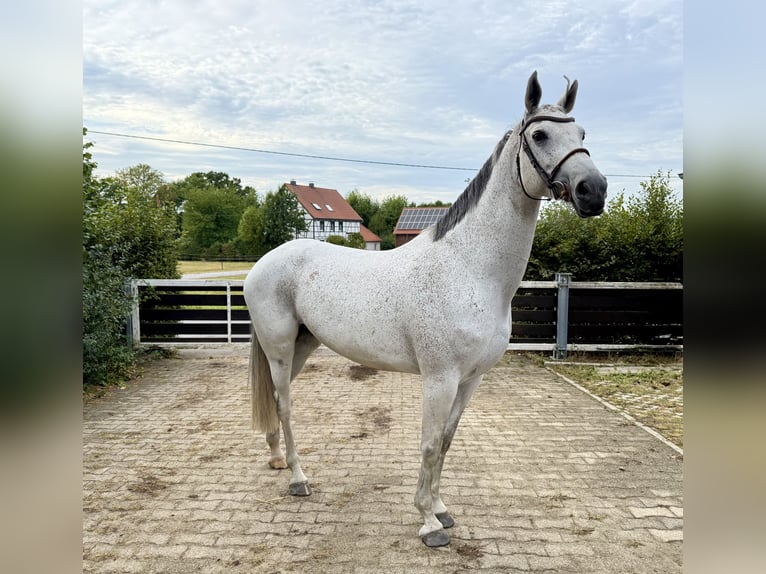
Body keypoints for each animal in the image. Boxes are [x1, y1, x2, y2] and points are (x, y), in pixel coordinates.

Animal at [243, 70, 607, 547]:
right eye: (540, 134)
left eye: (582, 134)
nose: (594, 191)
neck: (468, 267)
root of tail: (263, 263)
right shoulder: (439, 378)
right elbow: (430, 444)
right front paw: (428, 522)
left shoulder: (470, 379)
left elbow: (447, 441)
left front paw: (440, 508)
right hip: (281, 348)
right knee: (285, 406)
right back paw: (298, 479)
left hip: (302, 346)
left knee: (274, 397)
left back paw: (277, 460)